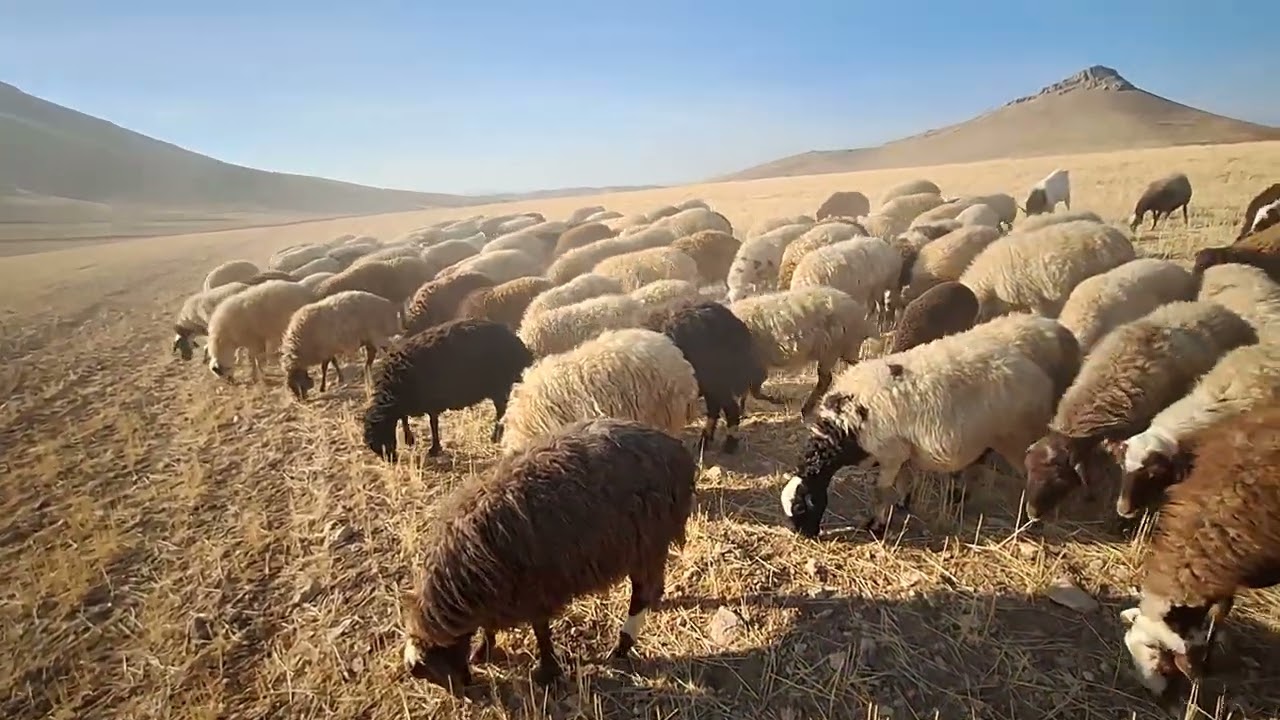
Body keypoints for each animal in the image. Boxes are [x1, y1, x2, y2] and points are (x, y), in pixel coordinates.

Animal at [363, 318, 533, 460]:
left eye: (381, 436)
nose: (391, 460)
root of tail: (518, 344)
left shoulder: (430, 402)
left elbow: (433, 423)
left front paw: (434, 448)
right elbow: (405, 418)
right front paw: (410, 439)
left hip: (498, 384)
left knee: (501, 410)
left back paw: (495, 436)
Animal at [401, 417, 696, 692]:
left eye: (428, 671)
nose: (465, 690)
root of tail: (676, 449)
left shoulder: (535, 592)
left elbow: (540, 631)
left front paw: (547, 671)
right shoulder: (501, 596)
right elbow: (491, 626)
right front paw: (483, 651)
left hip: (644, 542)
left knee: (640, 594)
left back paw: (621, 647)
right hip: (649, 546)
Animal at [729, 286, 874, 416]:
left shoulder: (756, 364)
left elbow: (754, 391)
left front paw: (782, 400)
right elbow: (747, 391)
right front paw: (742, 412)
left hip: (833, 349)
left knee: (826, 379)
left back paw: (806, 409)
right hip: (843, 349)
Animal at [780, 313, 1072, 538]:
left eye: (801, 507)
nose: (805, 535)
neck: (845, 426)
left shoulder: (890, 454)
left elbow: (880, 492)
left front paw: (877, 525)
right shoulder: (903, 452)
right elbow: (903, 481)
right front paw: (903, 503)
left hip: (1017, 436)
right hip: (988, 438)